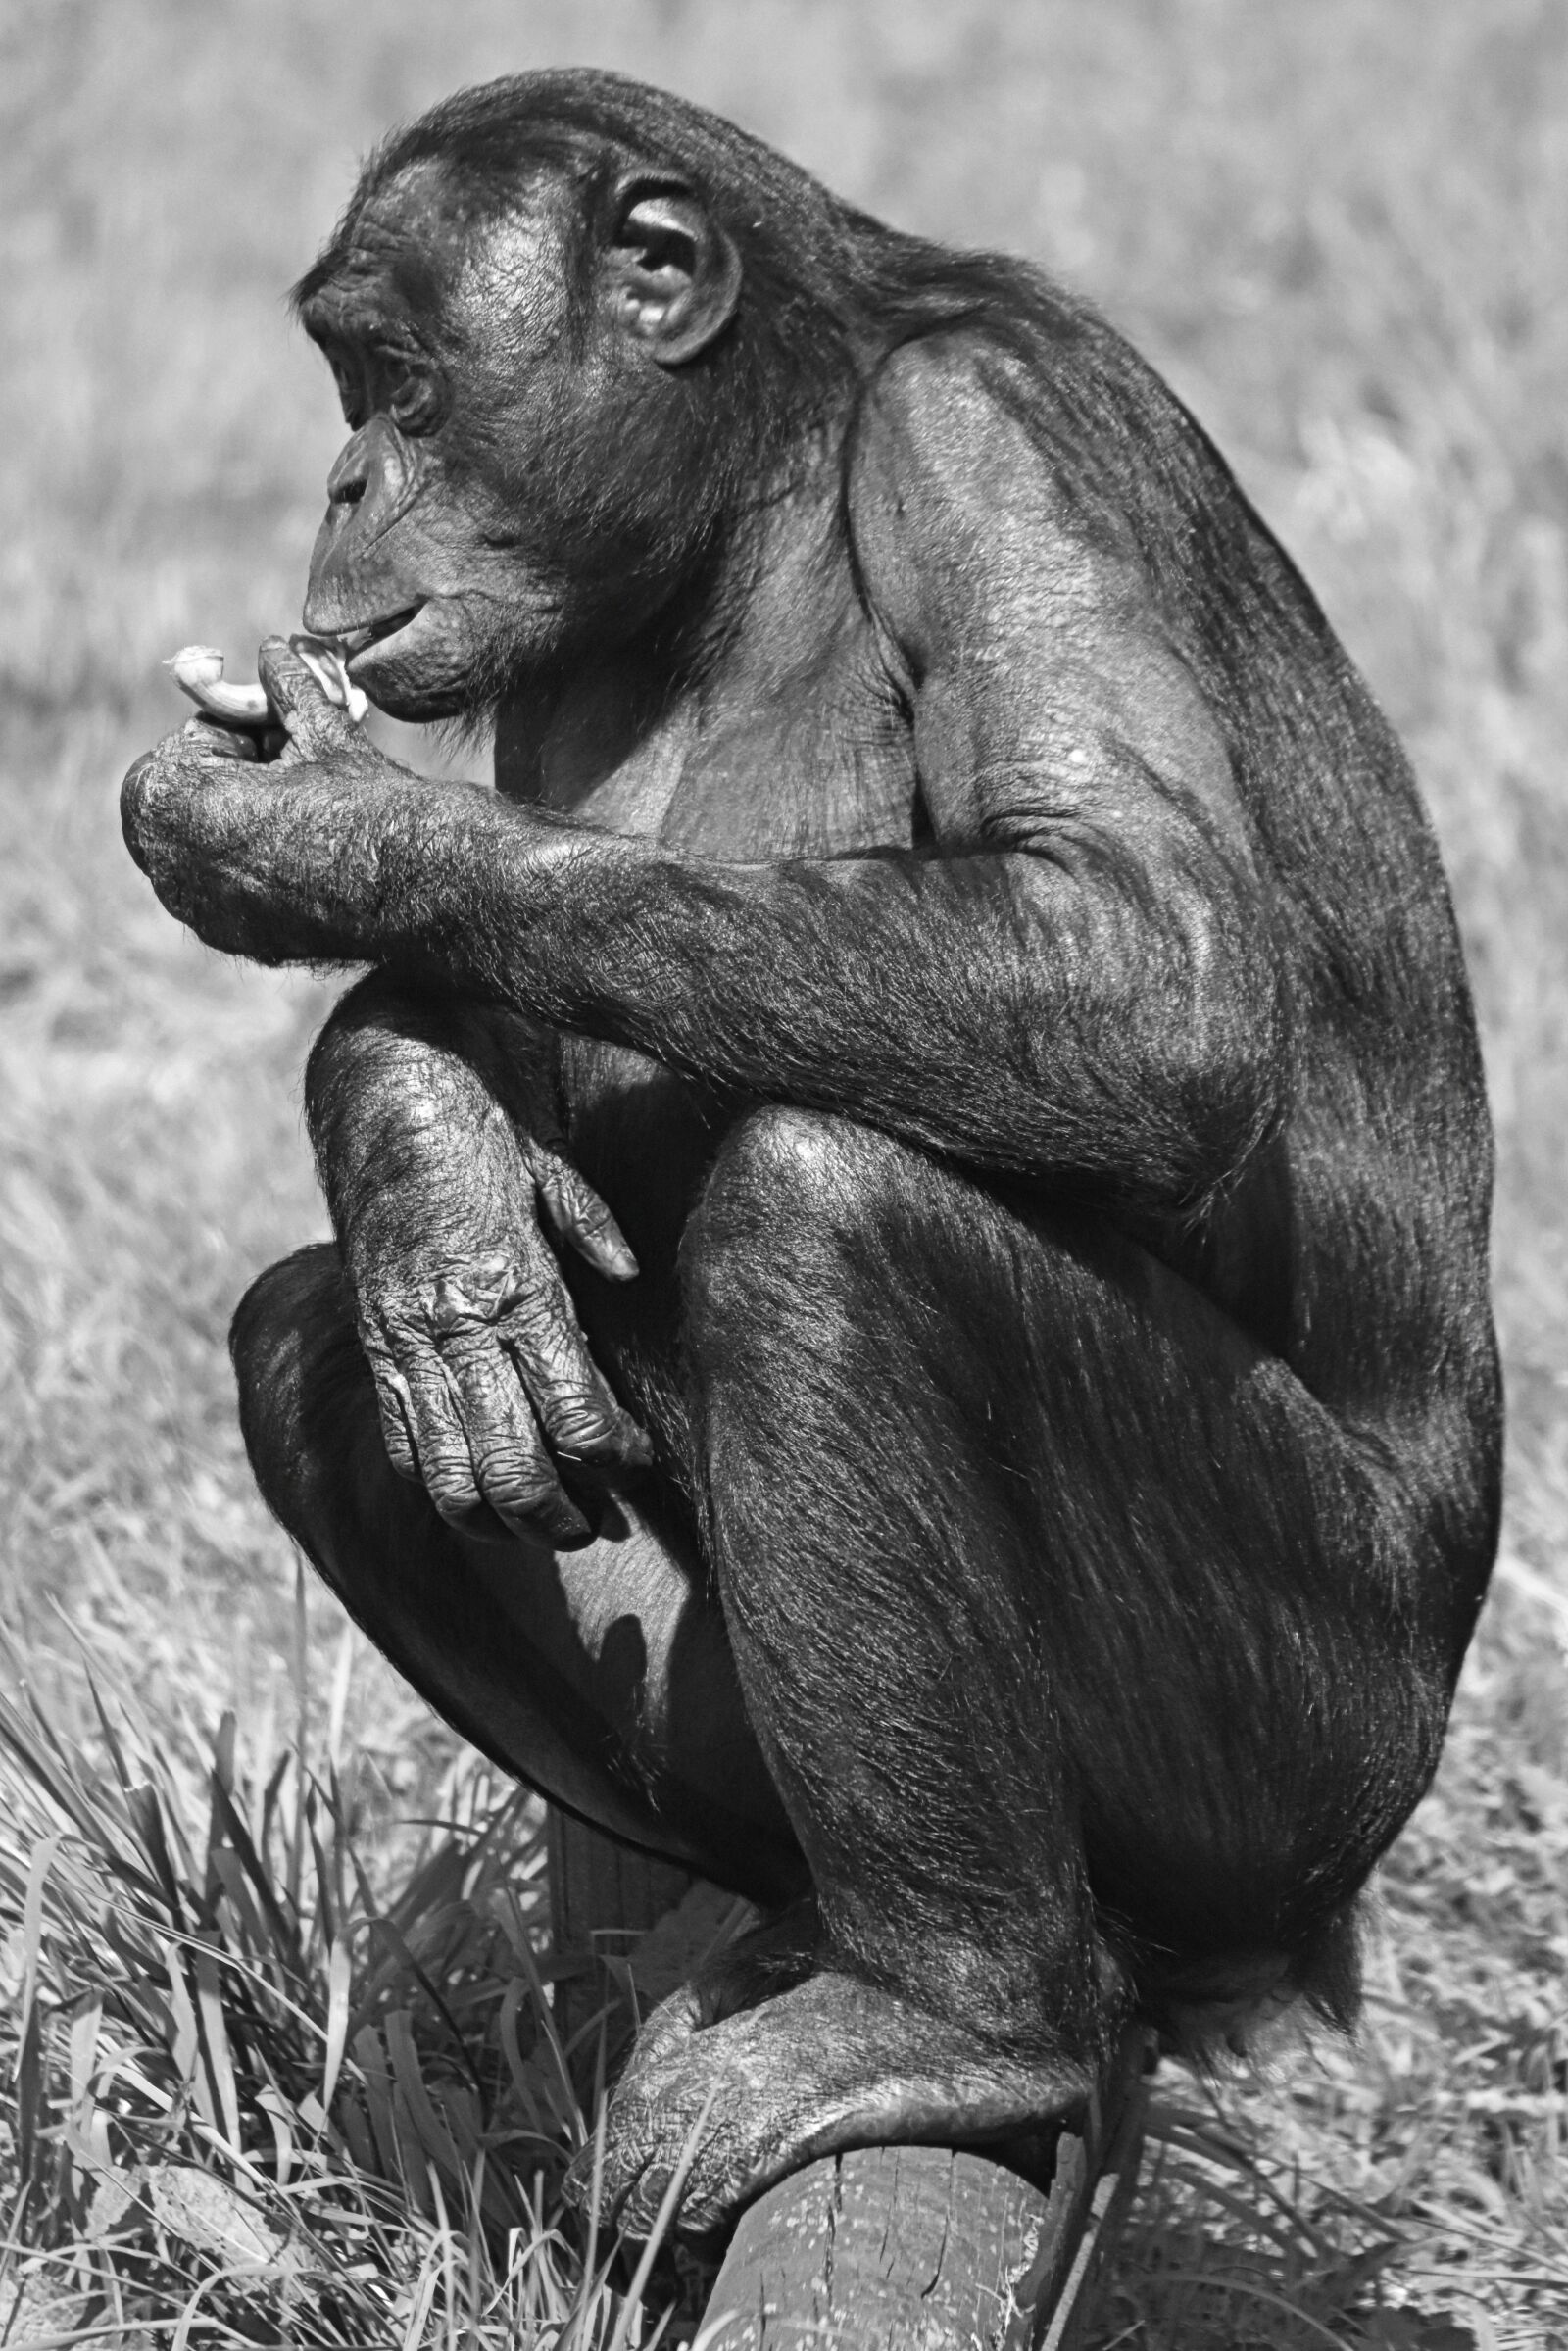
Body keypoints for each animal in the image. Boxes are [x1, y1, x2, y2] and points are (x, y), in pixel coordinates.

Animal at [120, 70, 1501, 2236]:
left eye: (400, 378)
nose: (345, 474)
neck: (759, 499)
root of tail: (1291, 1952)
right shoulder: (559, 661)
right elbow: (516, 990)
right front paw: (424, 1152)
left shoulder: (986, 438)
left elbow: (1145, 955)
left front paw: (318, 831)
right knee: (304, 1347)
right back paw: (801, 1922)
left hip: (1303, 1755)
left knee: (832, 1205)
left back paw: (950, 2007)